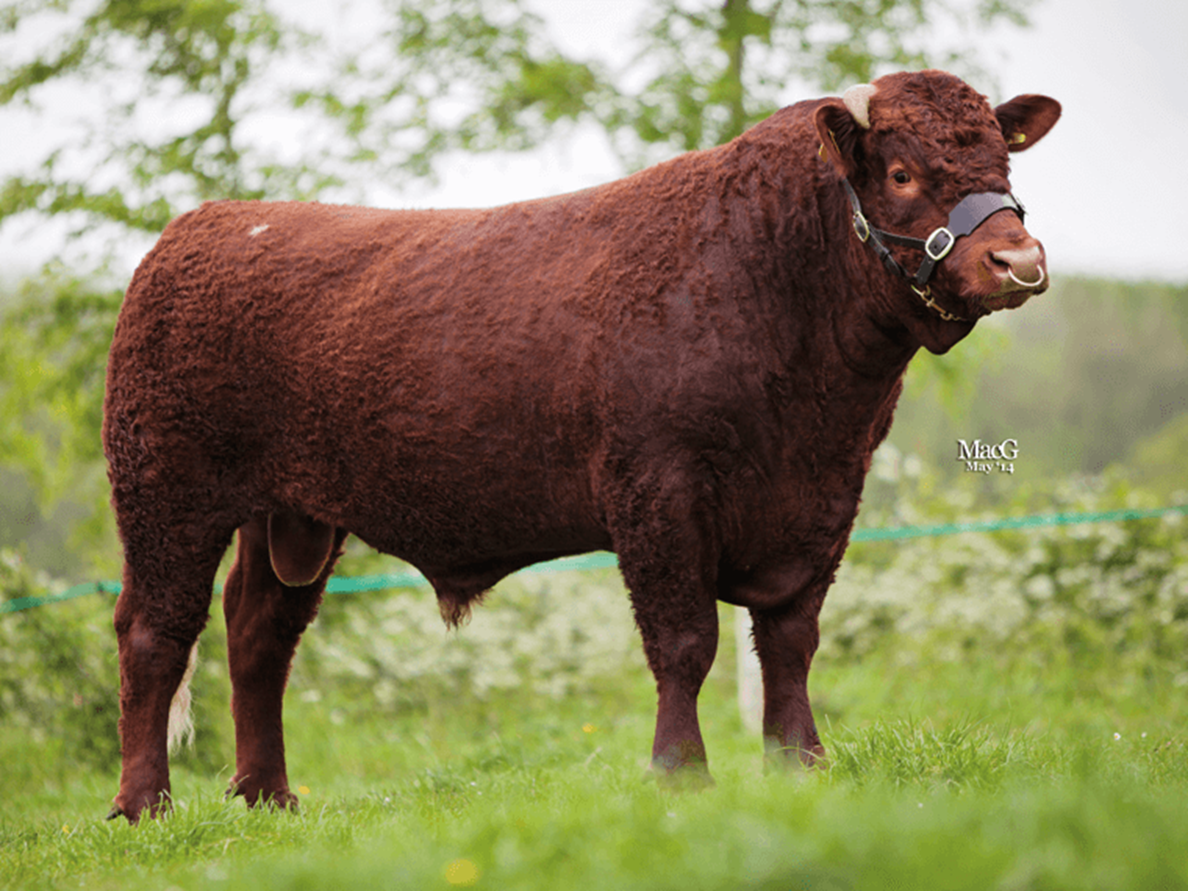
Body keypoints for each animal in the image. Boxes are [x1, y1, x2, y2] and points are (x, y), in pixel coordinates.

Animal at [103, 69, 1060, 821]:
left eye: (1004, 164)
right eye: (901, 171)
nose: (1020, 261)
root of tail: (207, 225)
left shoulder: (824, 498)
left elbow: (790, 640)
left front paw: (800, 766)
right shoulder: (658, 488)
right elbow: (685, 641)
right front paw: (681, 774)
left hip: (292, 512)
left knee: (258, 630)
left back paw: (268, 795)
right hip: (166, 489)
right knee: (156, 630)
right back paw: (146, 803)